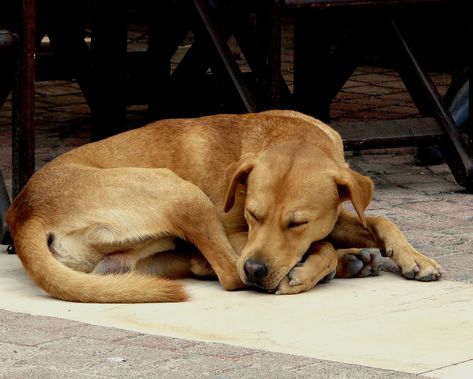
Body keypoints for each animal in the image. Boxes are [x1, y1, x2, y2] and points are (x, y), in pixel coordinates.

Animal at [7, 110, 440, 302]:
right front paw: (310, 270)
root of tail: (23, 211)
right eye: (252, 215)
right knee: (227, 275)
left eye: (297, 223)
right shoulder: (236, 235)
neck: (290, 135)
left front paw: (415, 258)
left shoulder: (328, 218)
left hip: (147, 256)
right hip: (183, 194)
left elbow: (378, 219)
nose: (257, 270)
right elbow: (324, 247)